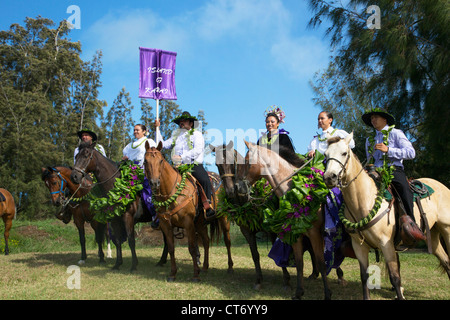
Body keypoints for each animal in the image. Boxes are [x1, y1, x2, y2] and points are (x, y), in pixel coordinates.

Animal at [145, 141, 236, 282]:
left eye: (160, 161)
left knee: (227, 241)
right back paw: (205, 267)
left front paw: (195, 275)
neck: (172, 193)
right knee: (206, 241)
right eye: (145, 161)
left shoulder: (188, 224)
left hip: (223, 218)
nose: (154, 183)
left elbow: (192, 248)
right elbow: (171, 248)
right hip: (200, 223)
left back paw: (230, 267)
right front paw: (172, 274)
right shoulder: (166, 225)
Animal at [237, 141, 332, 300]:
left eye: (247, 161)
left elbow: (321, 262)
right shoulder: (297, 235)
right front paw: (299, 293)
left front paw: (327, 295)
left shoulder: (315, 234)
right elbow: (299, 263)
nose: (238, 187)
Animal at [324, 132, 450, 300]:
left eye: (344, 153)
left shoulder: (386, 244)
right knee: (447, 262)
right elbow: (364, 277)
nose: (329, 177)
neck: (364, 200)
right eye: (325, 155)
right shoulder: (359, 245)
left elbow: (395, 277)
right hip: (434, 235)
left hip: (447, 229)